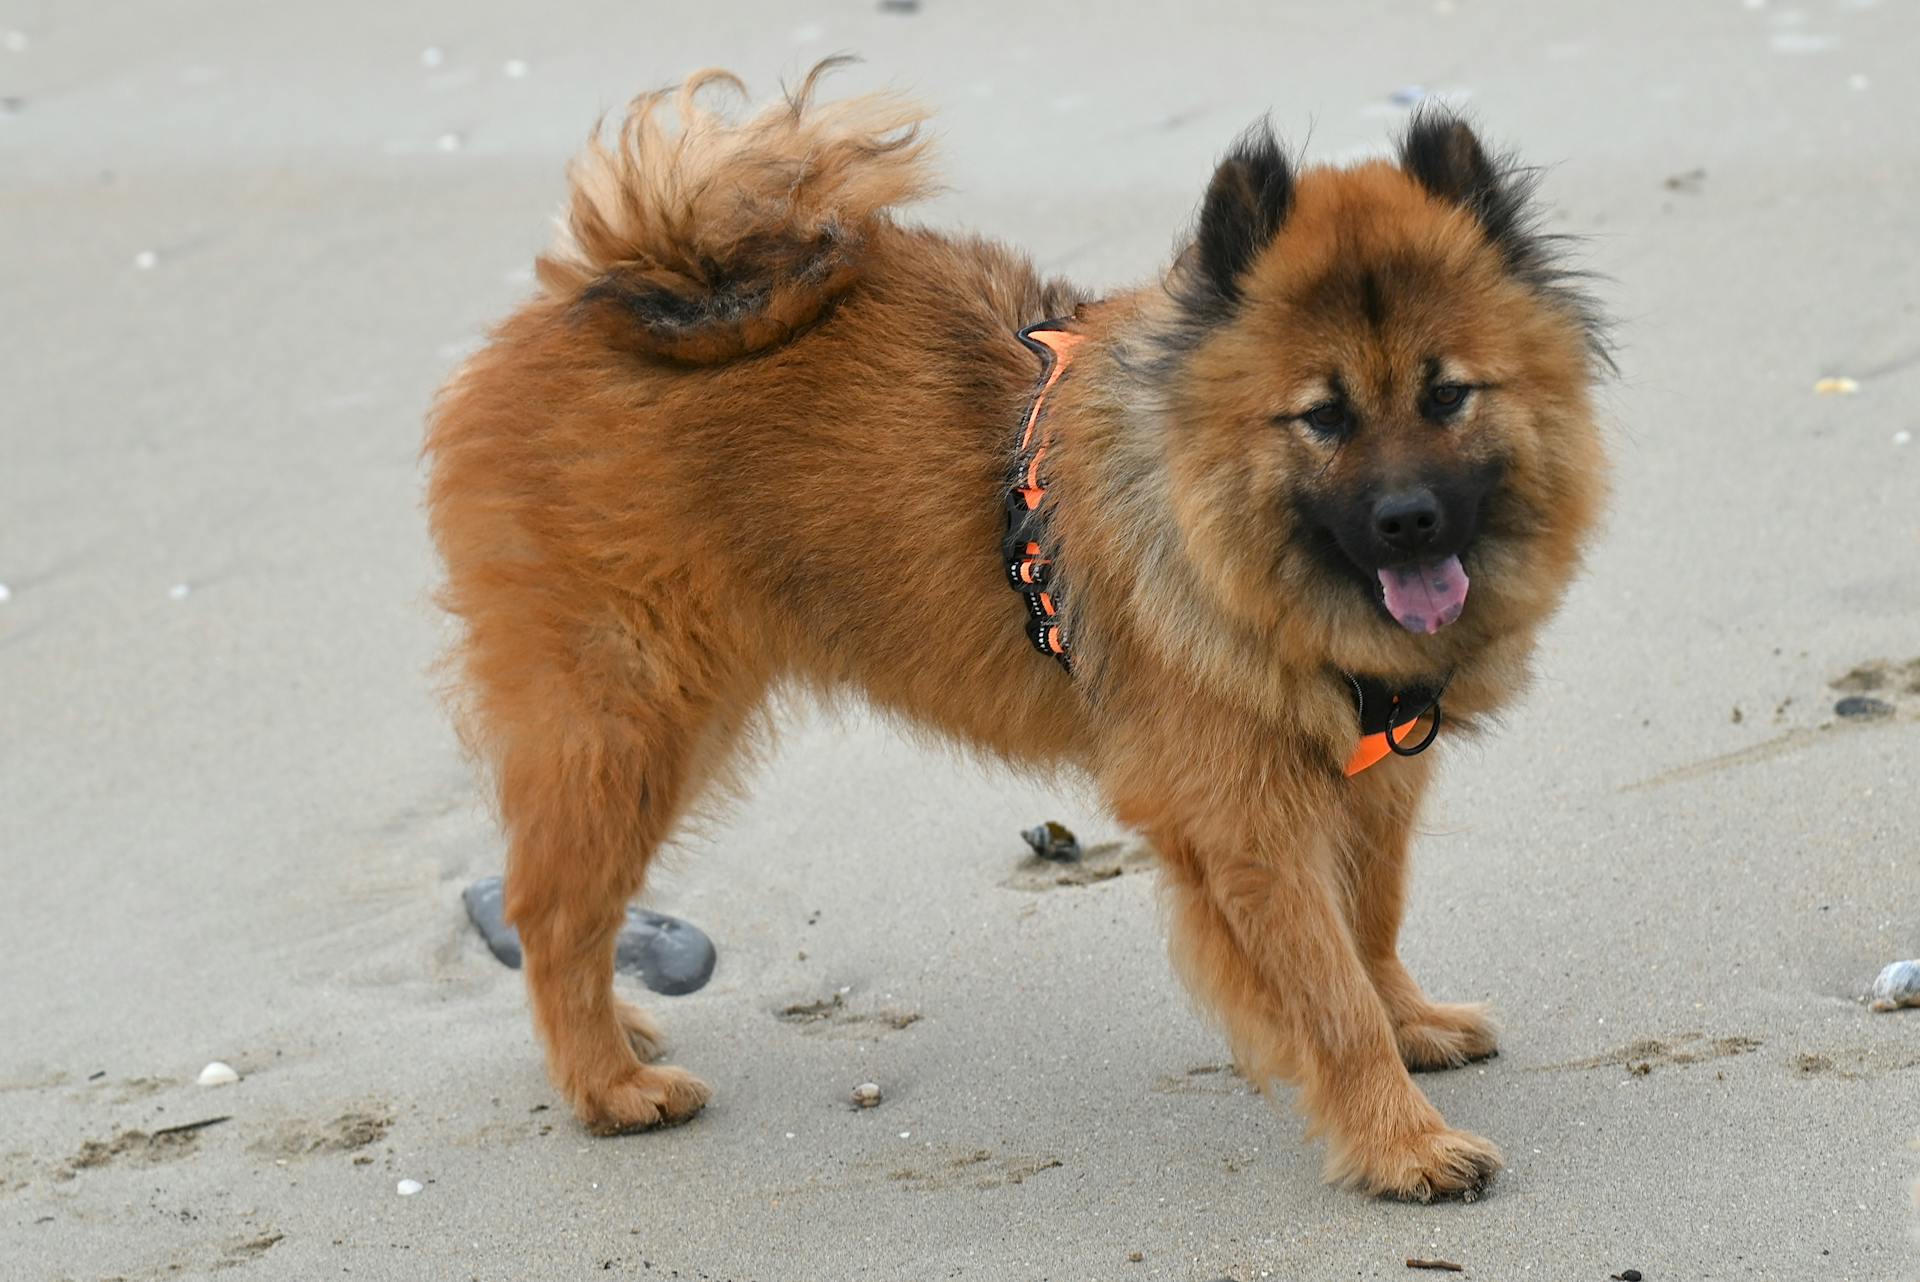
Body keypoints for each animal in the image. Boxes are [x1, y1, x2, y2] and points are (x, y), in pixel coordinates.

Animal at [428, 62, 1612, 1205]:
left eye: (1449, 395)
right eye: (1323, 417)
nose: (1409, 520)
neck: (1221, 535)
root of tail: (589, 301)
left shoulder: (1370, 782)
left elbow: (1372, 926)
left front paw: (1413, 1026)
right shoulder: (1251, 821)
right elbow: (1330, 996)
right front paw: (1401, 1142)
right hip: (634, 723)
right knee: (550, 913)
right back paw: (606, 1084)